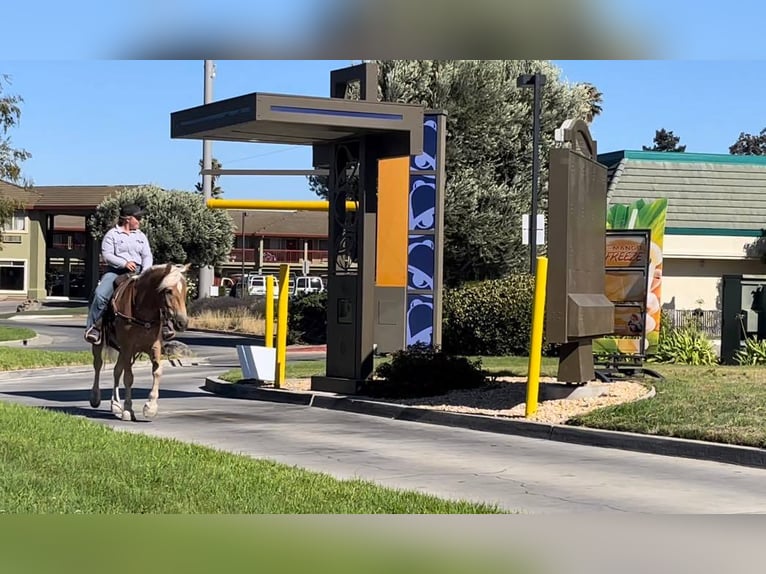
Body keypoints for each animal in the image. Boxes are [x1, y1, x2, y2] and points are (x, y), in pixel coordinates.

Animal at [89, 266, 190, 424]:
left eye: (185, 289)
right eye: (168, 291)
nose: (182, 323)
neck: (143, 310)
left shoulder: (154, 347)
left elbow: (157, 372)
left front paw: (150, 408)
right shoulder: (128, 347)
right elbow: (128, 377)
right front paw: (128, 411)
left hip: (122, 351)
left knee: (117, 370)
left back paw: (115, 404)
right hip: (100, 345)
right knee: (98, 366)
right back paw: (95, 397)